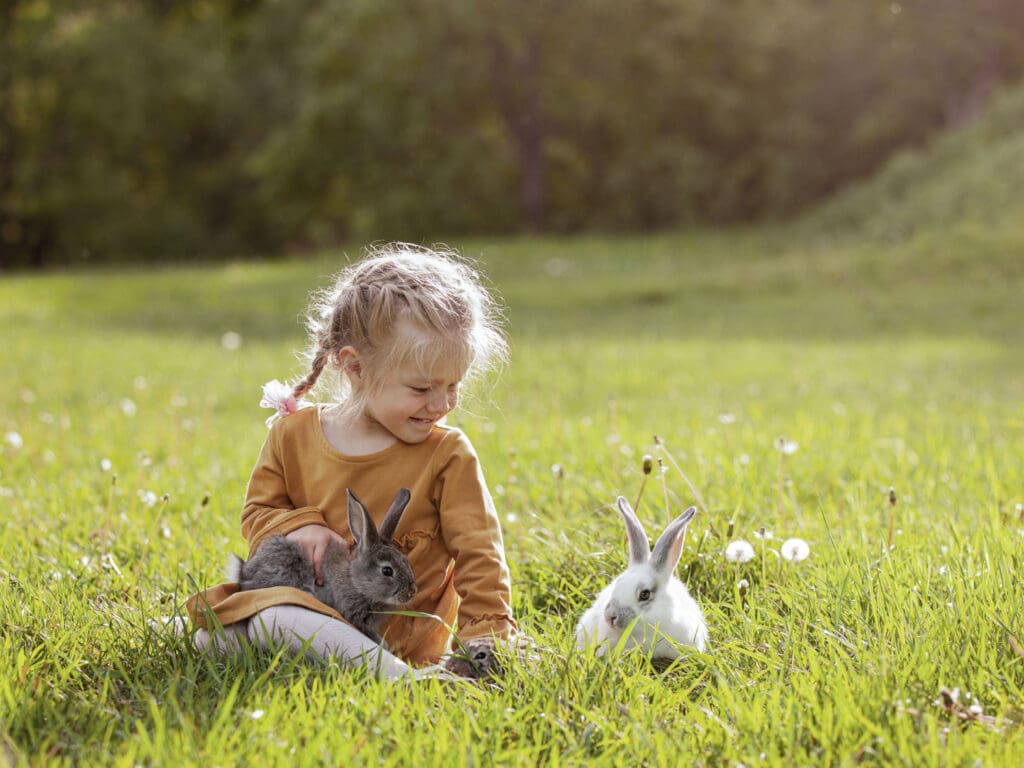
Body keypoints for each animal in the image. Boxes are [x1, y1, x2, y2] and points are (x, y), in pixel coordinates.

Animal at [227, 489, 415, 647]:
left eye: (406, 561)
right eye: (387, 571)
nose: (411, 592)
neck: (354, 579)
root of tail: (243, 571)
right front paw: (382, 644)